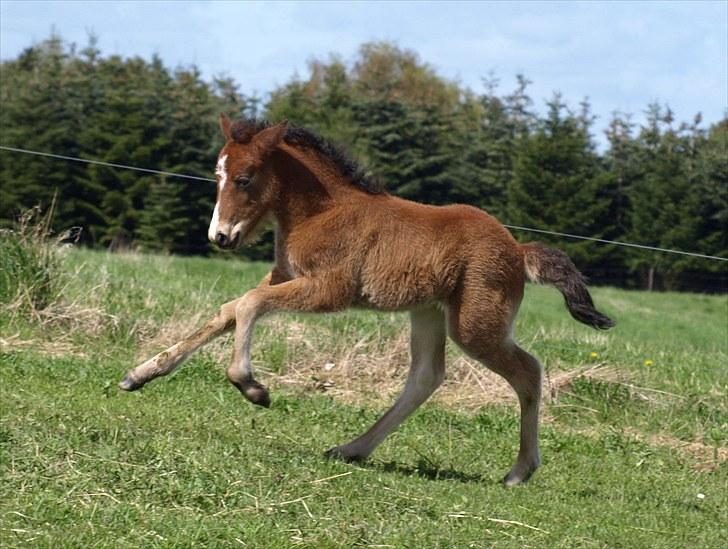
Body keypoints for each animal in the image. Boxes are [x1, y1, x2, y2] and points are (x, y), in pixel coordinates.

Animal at [121, 114, 616, 484]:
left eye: (244, 179)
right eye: (217, 176)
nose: (220, 236)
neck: (320, 211)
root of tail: (518, 248)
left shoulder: (329, 288)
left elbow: (248, 305)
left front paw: (251, 386)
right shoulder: (285, 275)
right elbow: (230, 309)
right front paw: (140, 374)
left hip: (475, 325)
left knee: (527, 371)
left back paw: (519, 471)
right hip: (429, 312)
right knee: (425, 376)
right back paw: (352, 449)